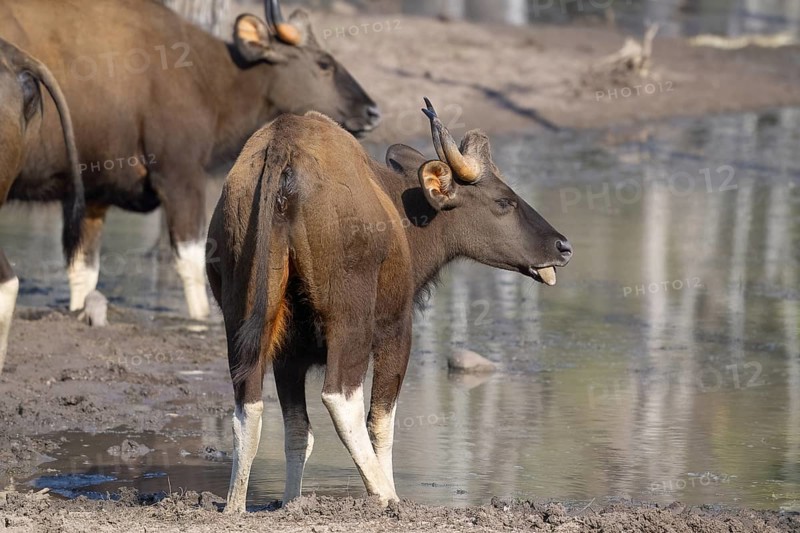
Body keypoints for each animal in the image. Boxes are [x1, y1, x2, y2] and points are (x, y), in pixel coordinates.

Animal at [0, 0, 380, 319]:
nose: (373, 111)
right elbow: (193, 259)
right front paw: (199, 320)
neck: (201, 78)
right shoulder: (180, 175)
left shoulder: (93, 193)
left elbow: (83, 269)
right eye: (324, 64)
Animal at [206, 99, 573, 512]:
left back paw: (234, 505)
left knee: (247, 404)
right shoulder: (396, 329)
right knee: (341, 397)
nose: (562, 246)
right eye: (504, 201)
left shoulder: (289, 355)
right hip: (350, 322)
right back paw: (386, 495)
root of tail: (282, 155)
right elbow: (380, 420)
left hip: (242, 322)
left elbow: (298, 431)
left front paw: (290, 502)